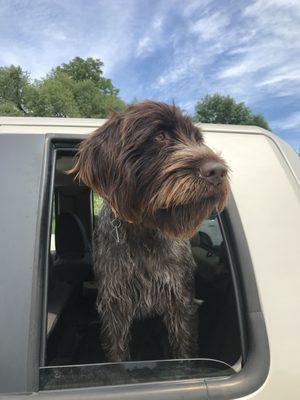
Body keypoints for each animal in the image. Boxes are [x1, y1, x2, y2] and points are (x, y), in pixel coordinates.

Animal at [71, 101, 230, 362]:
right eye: (160, 136)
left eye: (197, 139)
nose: (218, 171)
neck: (144, 232)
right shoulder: (115, 307)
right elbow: (116, 354)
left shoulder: (181, 302)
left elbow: (184, 350)